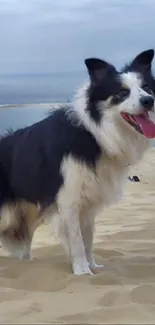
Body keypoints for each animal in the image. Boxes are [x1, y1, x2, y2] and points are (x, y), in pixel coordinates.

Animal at [0, 48, 155, 274]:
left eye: (146, 88)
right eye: (122, 92)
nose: (149, 101)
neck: (95, 134)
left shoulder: (89, 201)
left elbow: (88, 238)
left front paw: (93, 267)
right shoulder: (69, 199)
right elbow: (77, 240)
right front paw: (82, 271)